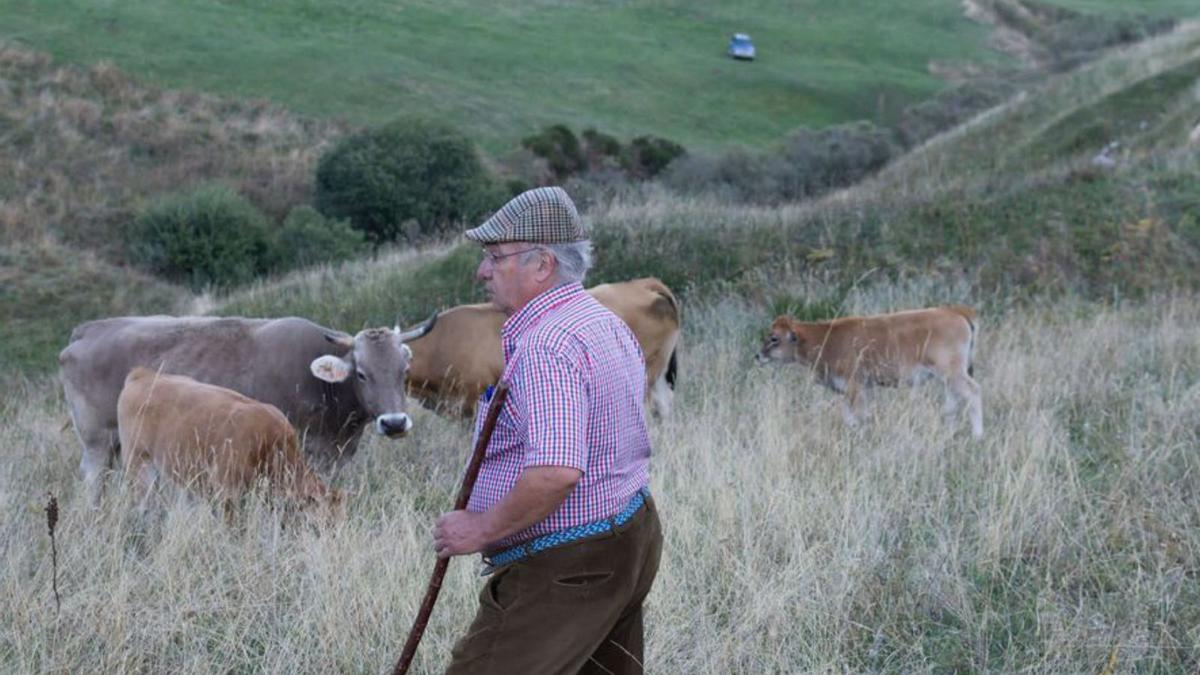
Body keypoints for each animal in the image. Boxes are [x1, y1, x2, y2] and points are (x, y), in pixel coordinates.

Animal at [758, 305, 984, 437]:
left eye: (774, 338)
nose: (758, 355)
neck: (826, 338)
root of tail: (954, 311)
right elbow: (850, 416)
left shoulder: (854, 386)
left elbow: (859, 415)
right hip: (948, 376)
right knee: (953, 400)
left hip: (953, 372)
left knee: (973, 392)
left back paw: (977, 435)